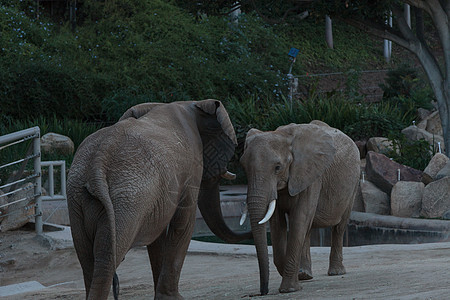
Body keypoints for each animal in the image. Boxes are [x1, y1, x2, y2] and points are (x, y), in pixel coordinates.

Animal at [67, 99, 251, 298]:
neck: (191, 103)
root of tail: (98, 161)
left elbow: (159, 235)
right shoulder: (191, 167)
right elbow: (183, 223)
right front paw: (174, 298)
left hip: (78, 197)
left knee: (89, 259)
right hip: (129, 200)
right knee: (107, 257)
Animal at [239, 120, 358, 296]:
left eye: (278, 167)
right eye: (244, 168)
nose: (263, 291)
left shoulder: (311, 175)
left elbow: (299, 219)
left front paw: (289, 289)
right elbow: (277, 224)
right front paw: (296, 277)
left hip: (353, 185)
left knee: (339, 226)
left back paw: (336, 272)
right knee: (308, 230)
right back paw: (305, 275)